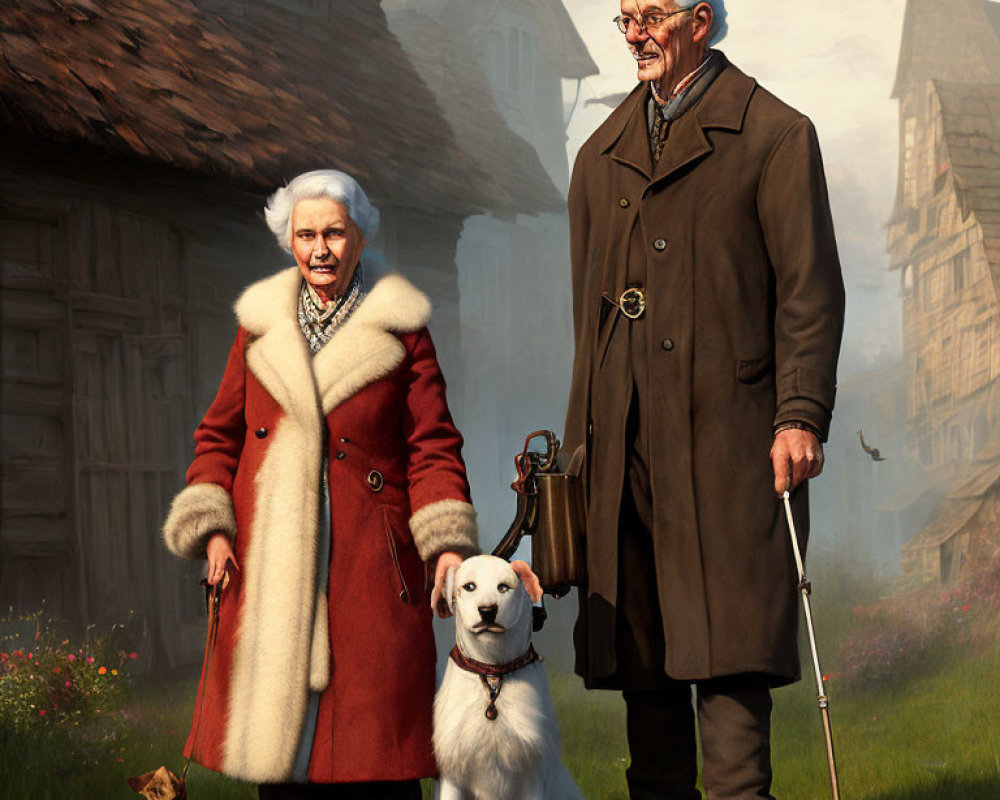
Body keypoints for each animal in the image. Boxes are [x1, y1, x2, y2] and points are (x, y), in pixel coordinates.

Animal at [432, 552, 584, 800]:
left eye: (503, 587)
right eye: (469, 586)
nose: (487, 610)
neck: (493, 671)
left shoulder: (532, 773)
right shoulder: (451, 774)